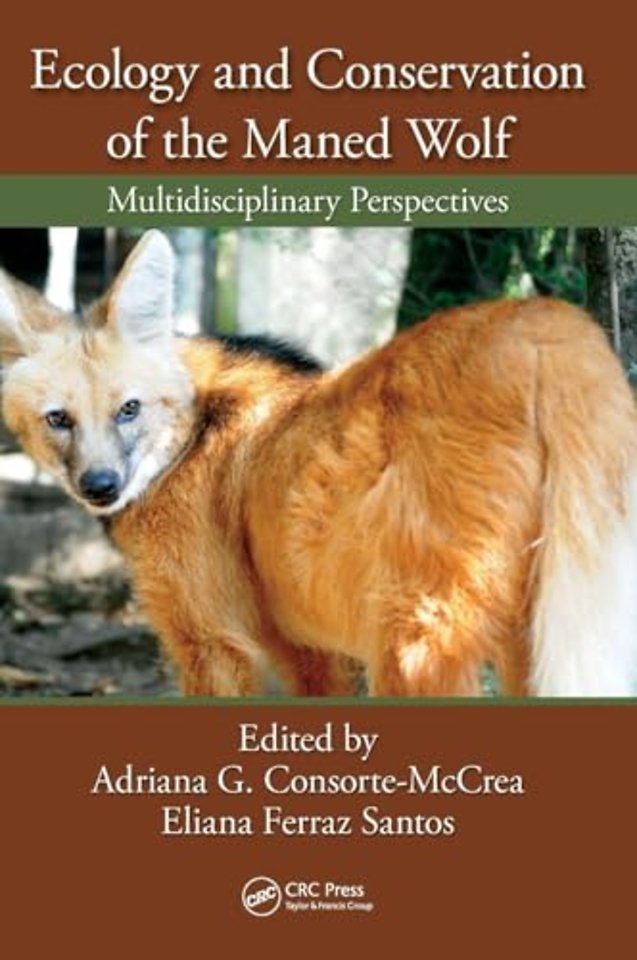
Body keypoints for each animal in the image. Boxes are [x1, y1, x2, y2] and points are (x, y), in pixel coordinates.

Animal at [1, 230, 637, 697]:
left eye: (128, 409)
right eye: (59, 419)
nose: (101, 486)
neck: (189, 435)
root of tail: (545, 324)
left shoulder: (211, 637)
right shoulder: (306, 646)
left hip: (413, 640)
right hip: (533, 623)